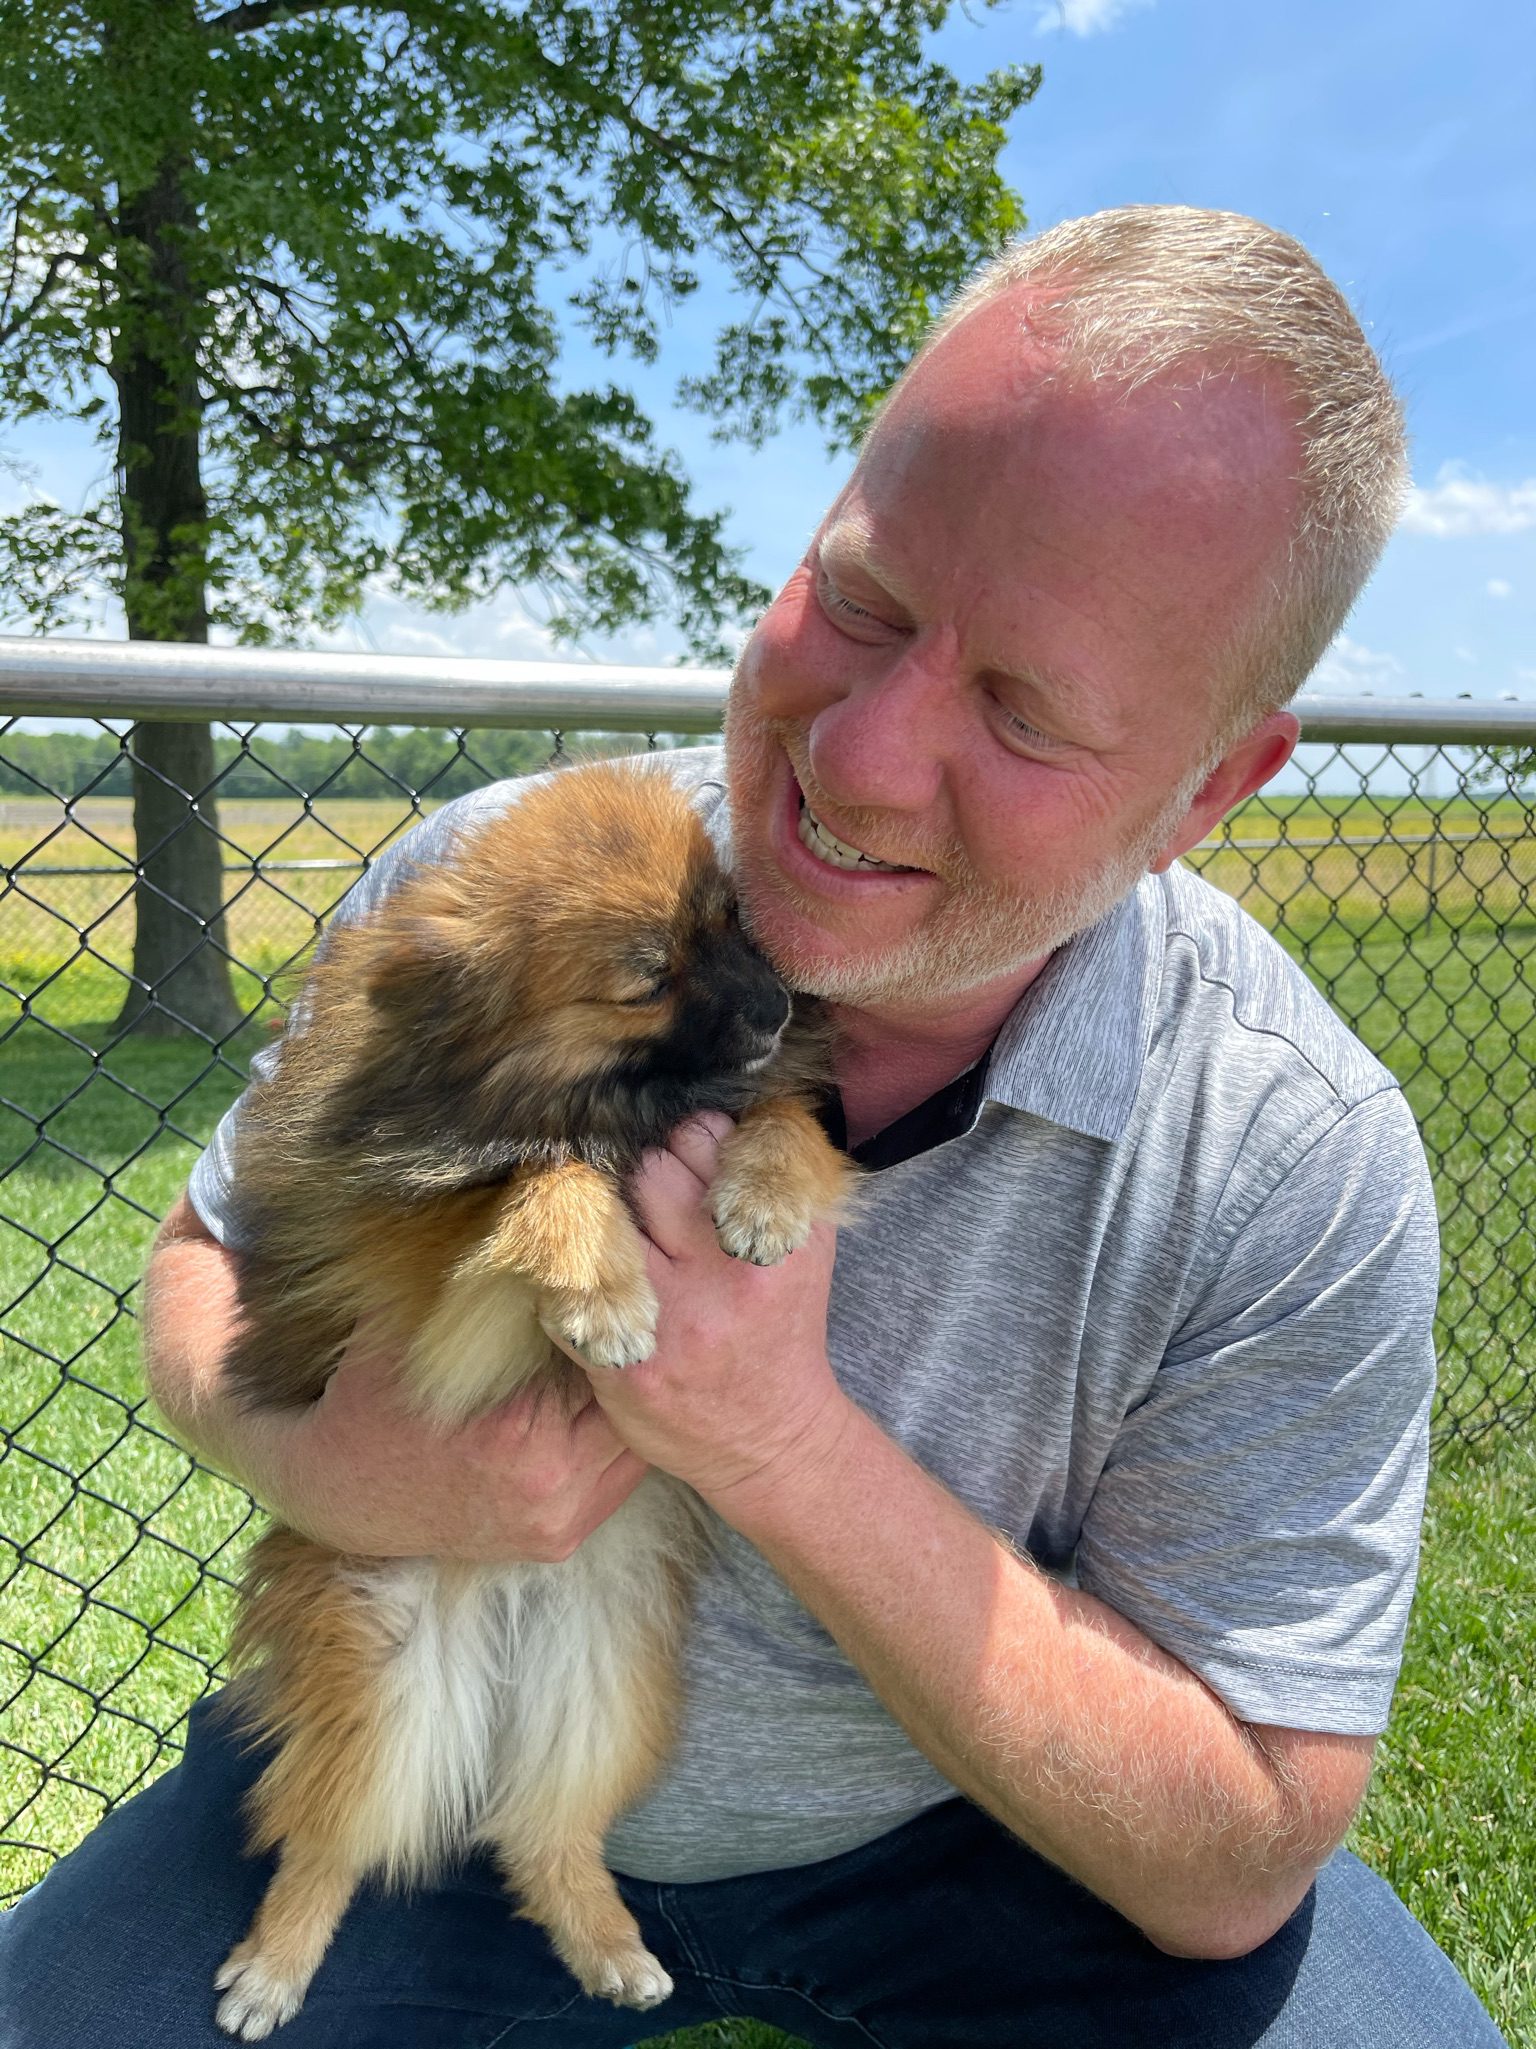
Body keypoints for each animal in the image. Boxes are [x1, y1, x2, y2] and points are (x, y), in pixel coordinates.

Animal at [207, 762, 856, 2040]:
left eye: (732, 921)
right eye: (647, 977)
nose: (774, 1010)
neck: (604, 1094)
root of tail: (498, 1605)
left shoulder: (749, 1101)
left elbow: (782, 1116)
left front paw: (765, 1196)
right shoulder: (420, 1279)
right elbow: (538, 1174)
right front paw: (600, 1286)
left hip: (605, 1685)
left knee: (541, 1835)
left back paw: (607, 1944)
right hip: (383, 1674)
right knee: (327, 1838)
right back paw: (274, 1965)